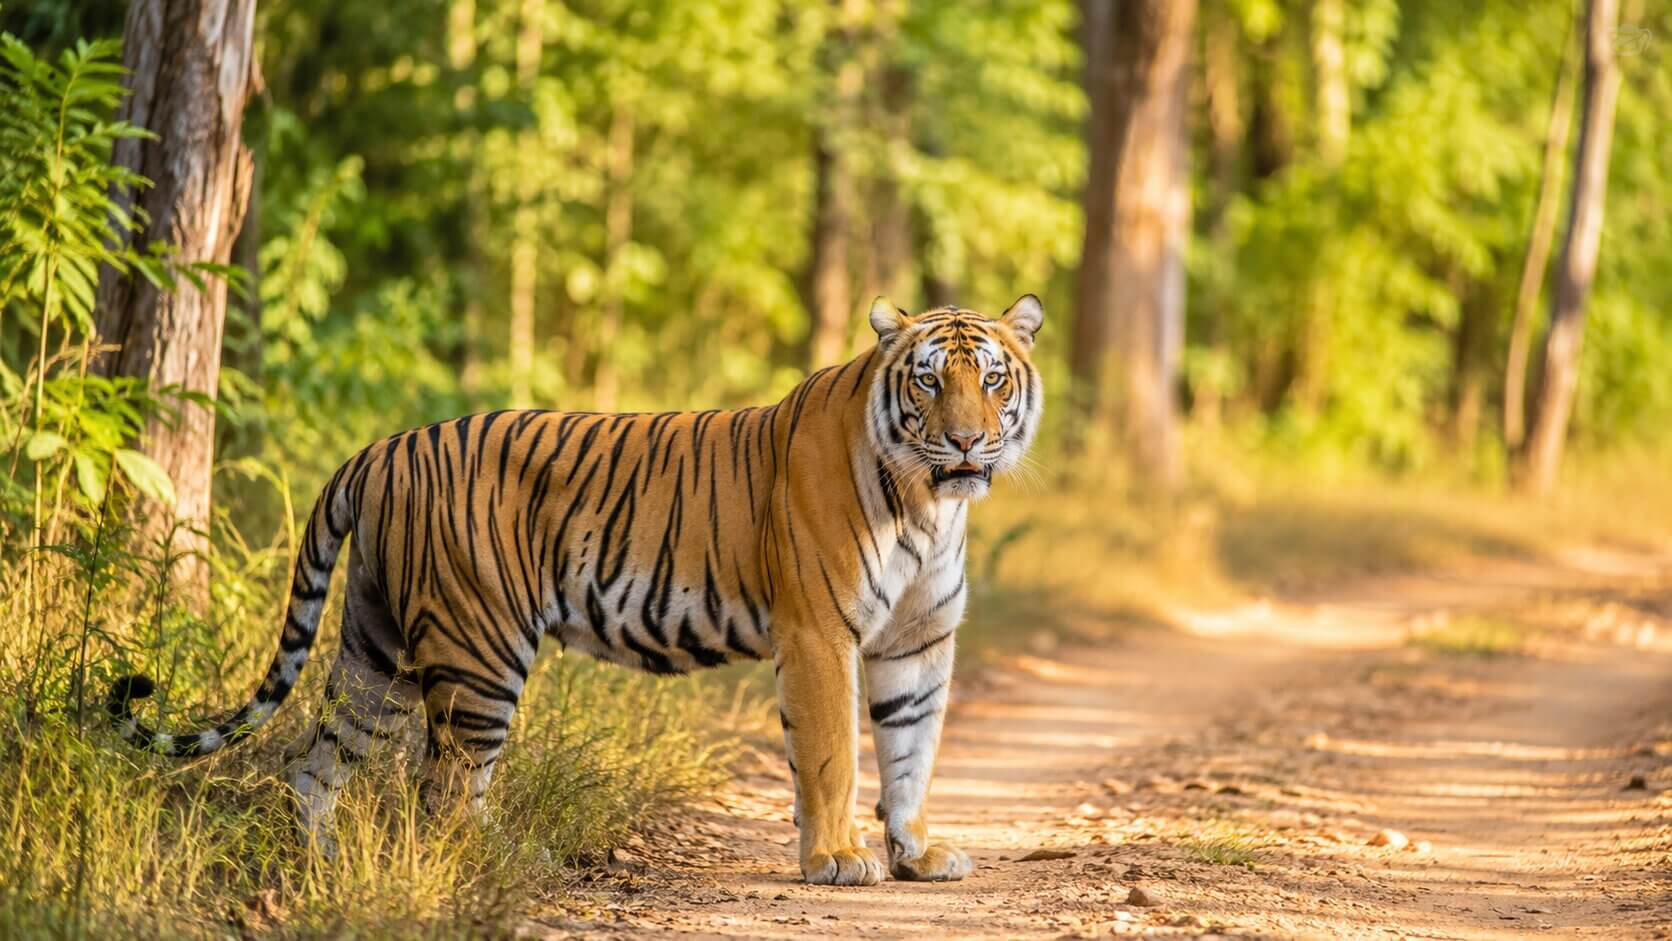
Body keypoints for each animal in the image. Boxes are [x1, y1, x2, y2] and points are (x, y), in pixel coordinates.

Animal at [107, 294, 1044, 886]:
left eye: (993, 379)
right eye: (929, 379)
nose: (968, 441)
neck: (929, 503)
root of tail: (378, 449)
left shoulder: (917, 641)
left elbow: (912, 750)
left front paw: (916, 853)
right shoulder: (819, 631)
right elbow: (832, 756)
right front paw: (837, 858)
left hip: (374, 648)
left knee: (316, 762)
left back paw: (327, 867)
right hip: (480, 652)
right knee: (443, 793)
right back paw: (510, 863)